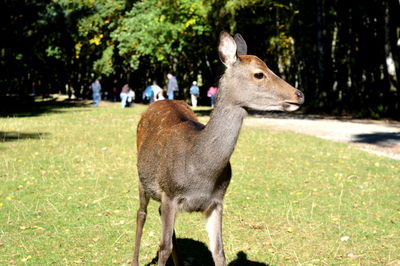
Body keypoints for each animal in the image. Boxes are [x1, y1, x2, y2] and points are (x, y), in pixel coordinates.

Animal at [133, 31, 304, 266]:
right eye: (259, 74)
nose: (300, 94)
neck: (200, 171)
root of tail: (158, 101)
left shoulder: (216, 201)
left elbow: (219, 251)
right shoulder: (170, 193)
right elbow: (163, 248)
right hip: (142, 179)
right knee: (141, 214)